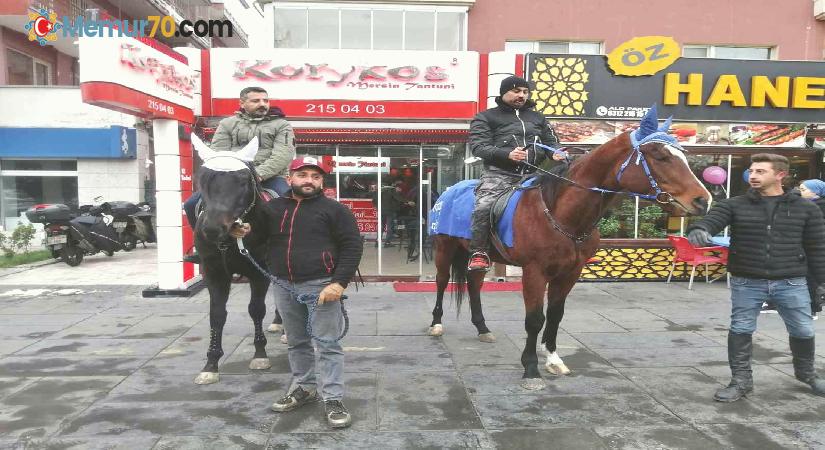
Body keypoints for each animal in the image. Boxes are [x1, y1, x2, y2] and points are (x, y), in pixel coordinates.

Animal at [192, 135, 282, 384]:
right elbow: (217, 314)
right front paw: (211, 363)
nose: (213, 229)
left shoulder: (259, 273)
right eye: (202, 178)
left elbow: (256, 309)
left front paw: (260, 354)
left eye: (243, 181)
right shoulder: (214, 272)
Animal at [432, 106, 708, 390]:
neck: (560, 214)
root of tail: (449, 191)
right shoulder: (535, 272)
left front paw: (553, 359)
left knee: (474, 284)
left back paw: (483, 329)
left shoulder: (569, 273)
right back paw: (436, 324)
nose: (702, 200)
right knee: (441, 282)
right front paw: (531, 368)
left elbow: (555, 314)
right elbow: (535, 319)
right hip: (444, 247)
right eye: (660, 156)